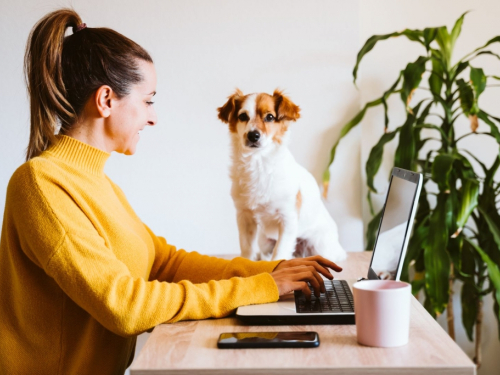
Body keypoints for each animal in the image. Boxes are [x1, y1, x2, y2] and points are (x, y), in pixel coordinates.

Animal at [217, 89, 346, 262]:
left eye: (270, 117)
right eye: (243, 116)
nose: (253, 135)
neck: (259, 163)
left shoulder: (287, 219)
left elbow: (279, 253)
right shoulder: (244, 217)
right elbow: (247, 249)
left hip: (320, 245)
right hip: (264, 241)